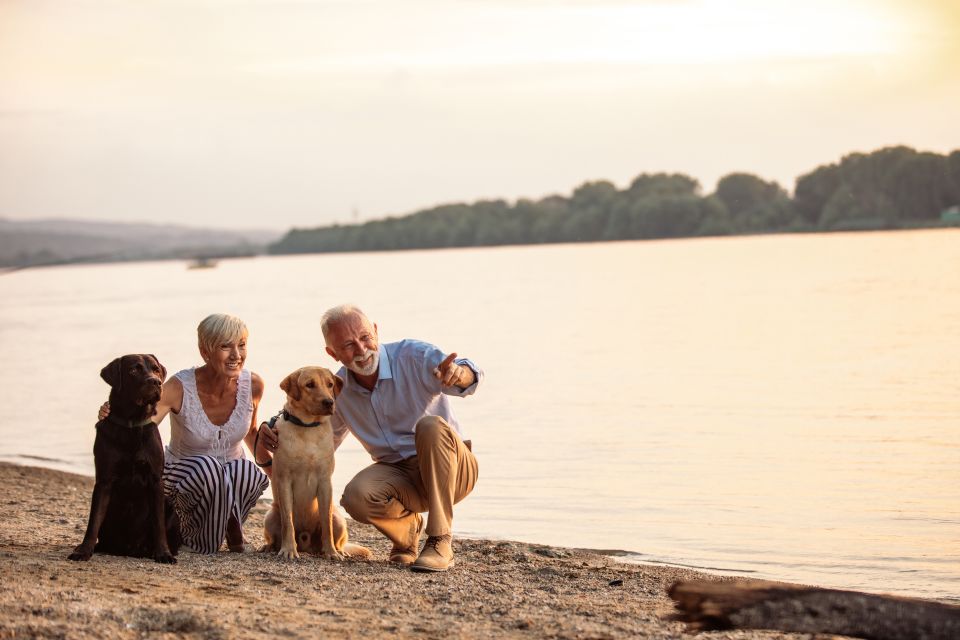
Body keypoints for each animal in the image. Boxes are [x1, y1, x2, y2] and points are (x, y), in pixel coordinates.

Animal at [68, 352, 181, 564]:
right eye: (133, 370)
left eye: (155, 369)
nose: (155, 381)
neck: (131, 423)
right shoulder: (104, 480)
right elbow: (93, 521)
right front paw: (83, 550)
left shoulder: (155, 480)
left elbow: (158, 524)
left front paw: (163, 553)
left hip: (169, 506)